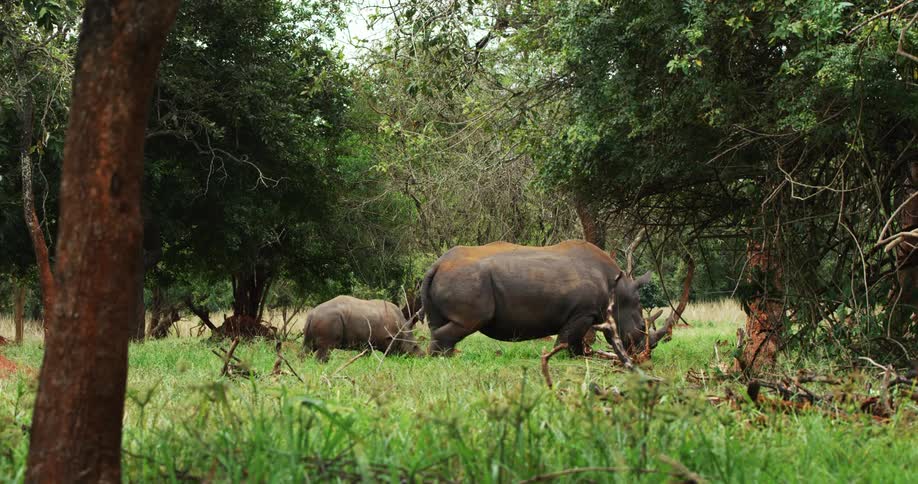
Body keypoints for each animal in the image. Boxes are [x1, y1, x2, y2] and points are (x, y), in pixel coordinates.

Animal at [420, 240, 673, 356]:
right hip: (467, 279)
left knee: (439, 323)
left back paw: (443, 356)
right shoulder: (583, 312)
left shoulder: (584, 313)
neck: (619, 290)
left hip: (452, 276)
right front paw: (575, 357)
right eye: (641, 328)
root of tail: (437, 264)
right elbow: (568, 338)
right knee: (470, 321)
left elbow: (573, 338)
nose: (644, 354)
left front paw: (582, 356)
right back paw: (443, 359)